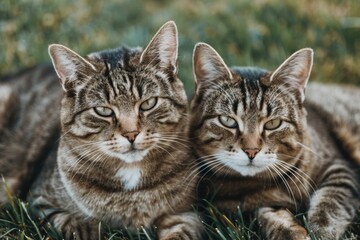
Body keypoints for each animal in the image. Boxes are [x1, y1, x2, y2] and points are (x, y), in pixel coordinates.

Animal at [0, 21, 202, 240]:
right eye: (103, 110)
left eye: (148, 103)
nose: (131, 134)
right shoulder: (40, 201)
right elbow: (71, 223)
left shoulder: (185, 213)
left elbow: (182, 231)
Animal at [190, 42, 358, 239]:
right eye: (227, 121)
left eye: (273, 123)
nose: (251, 151)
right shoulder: (242, 209)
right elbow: (272, 218)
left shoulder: (339, 167)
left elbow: (329, 205)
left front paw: (319, 233)